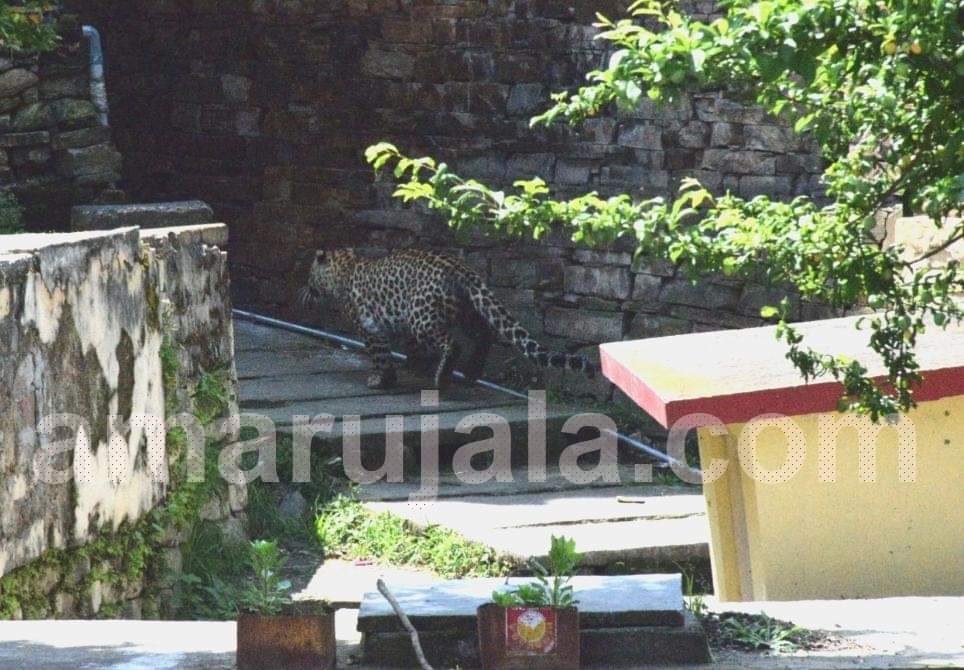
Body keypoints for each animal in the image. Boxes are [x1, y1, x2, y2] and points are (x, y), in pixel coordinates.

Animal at [301, 248, 595, 389]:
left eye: (310, 272)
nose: (306, 289)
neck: (345, 269)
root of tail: (462, 270)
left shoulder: (370, 328)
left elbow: (382, 356)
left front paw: (383, 380)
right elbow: (411, 350)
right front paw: (413, 367)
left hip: (423, 317)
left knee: (453, 344)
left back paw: (442, 377)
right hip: (468, 310)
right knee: (484, 335)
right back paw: (471, 372)